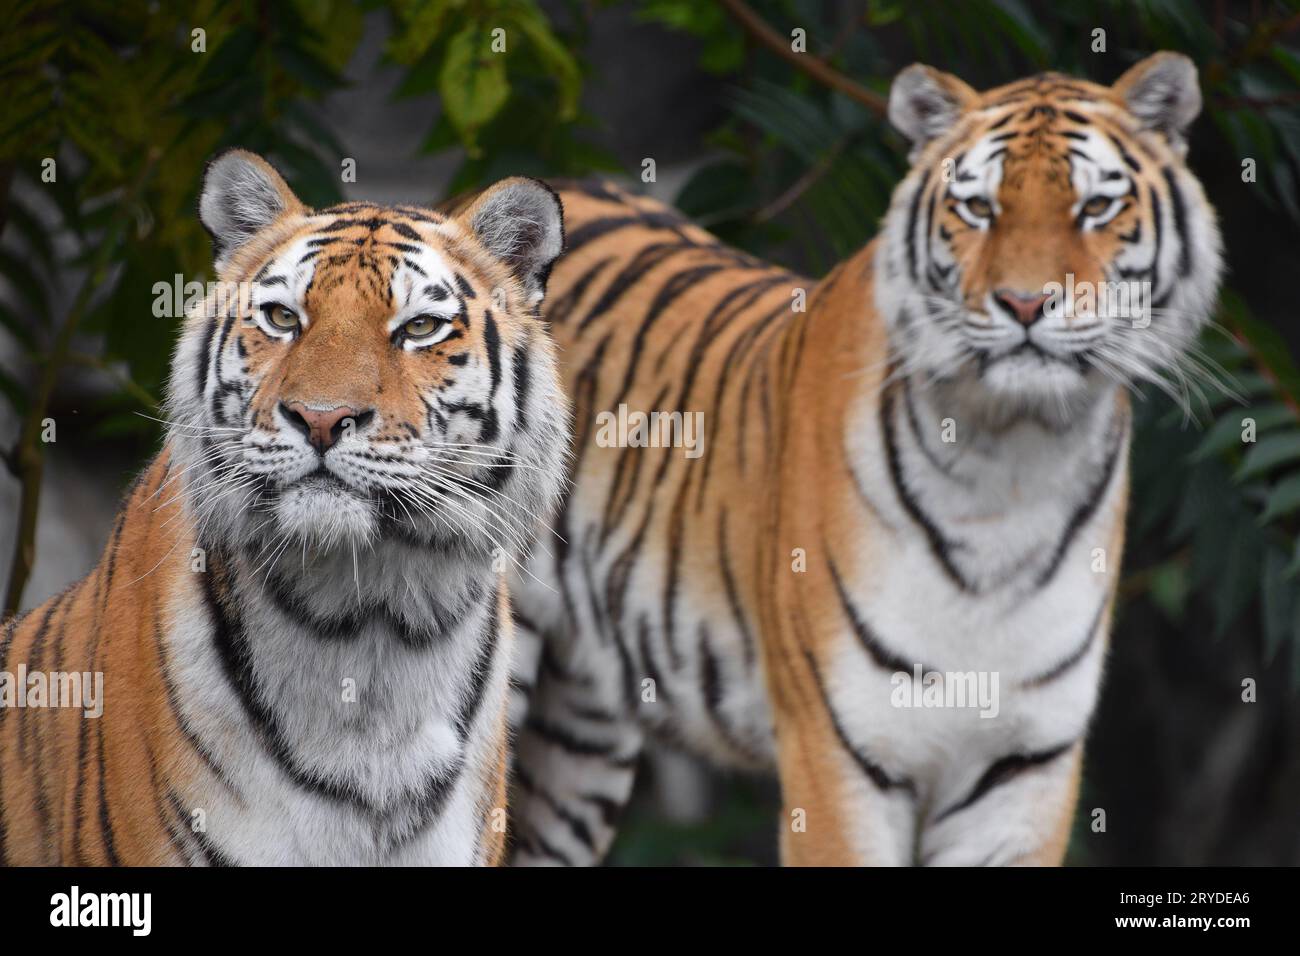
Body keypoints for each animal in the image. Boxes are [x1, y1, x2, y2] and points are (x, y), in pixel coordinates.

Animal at [512, 54, 1222, 868]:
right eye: (977, 208)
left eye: (1097, 207)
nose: (1024, 303)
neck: (1014, 461)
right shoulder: (839, 756)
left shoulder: (1024, 770)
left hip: (580, 733)